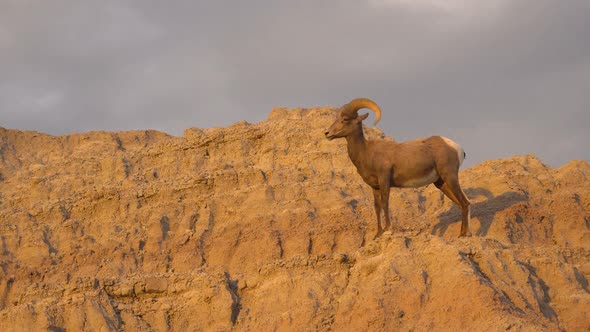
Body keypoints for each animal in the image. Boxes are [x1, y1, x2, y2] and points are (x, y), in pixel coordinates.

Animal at [326, 97, 474, 237]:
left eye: (345, 119)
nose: (327, 133)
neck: (366, 152)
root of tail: (456, 147)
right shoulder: (375, 187)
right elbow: (377, 207)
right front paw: (378, 234)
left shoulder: (384, 180)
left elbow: (385, 203)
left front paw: (387, 229)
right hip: (441, 183)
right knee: (462, 203)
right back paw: (465, 233)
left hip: (450, 177)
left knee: (465, 202)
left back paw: (463, 235)